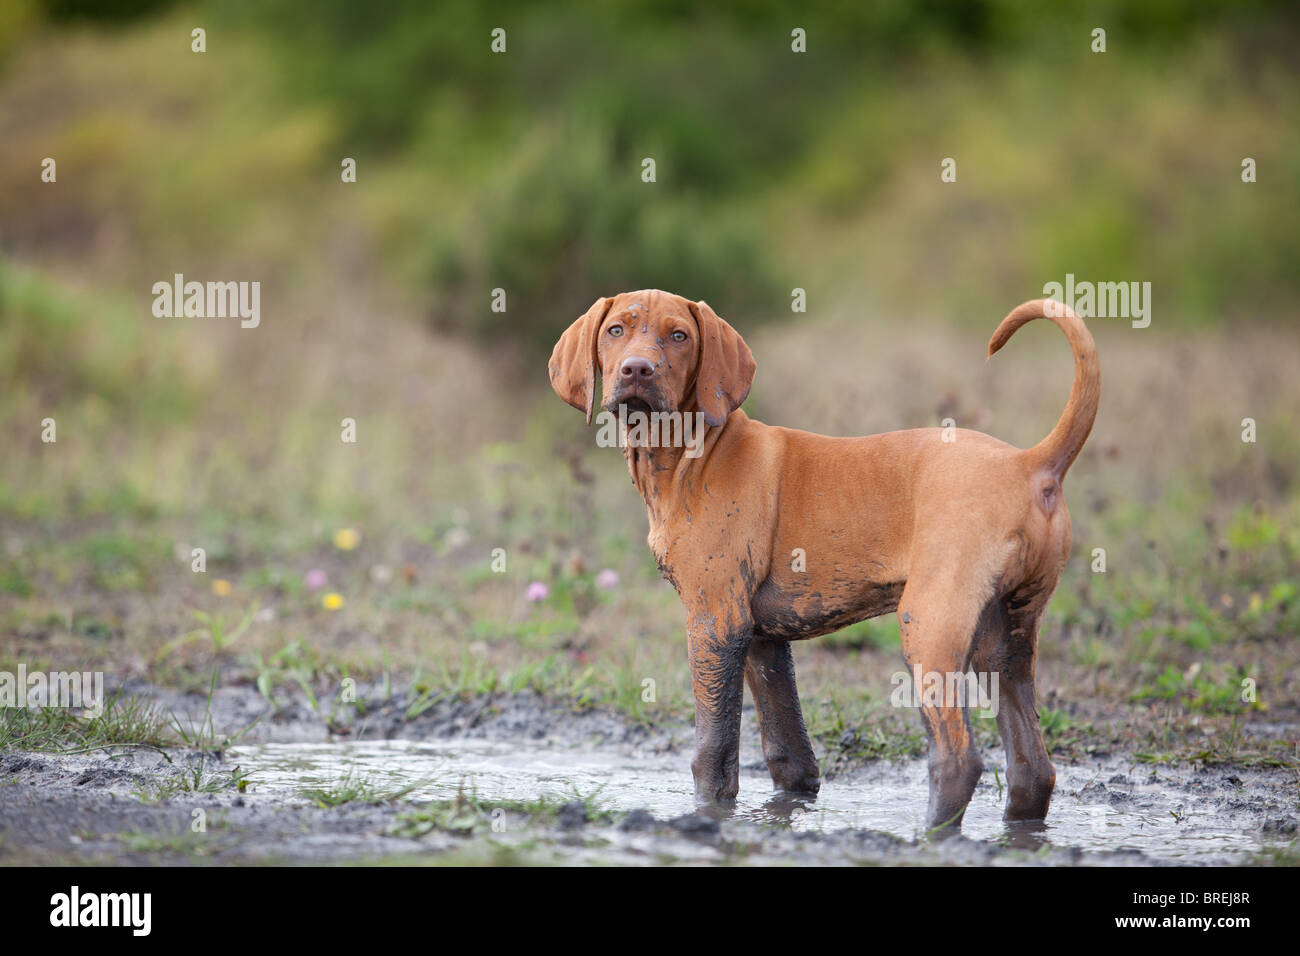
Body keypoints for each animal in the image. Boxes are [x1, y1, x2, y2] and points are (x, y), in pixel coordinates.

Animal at [546, 290, 1097, 832]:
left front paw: (709, 815)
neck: (689, 454)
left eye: (679, 336)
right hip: (1004, 642)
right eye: (616, 330)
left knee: (958, 760)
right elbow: (788, 750)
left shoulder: (714, 623)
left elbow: (714, 750)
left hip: (930, 626)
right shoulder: (762, 639)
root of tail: (1031, 463)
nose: (637, 369)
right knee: (1033, 767)